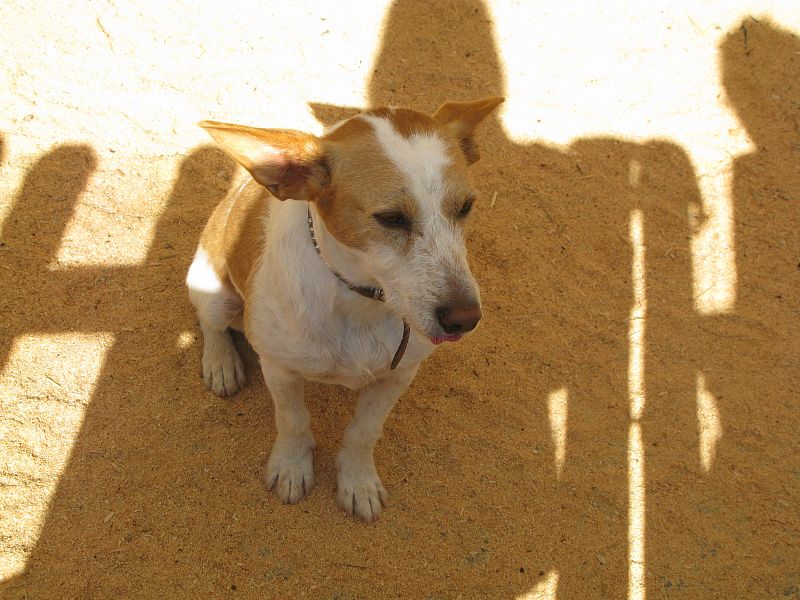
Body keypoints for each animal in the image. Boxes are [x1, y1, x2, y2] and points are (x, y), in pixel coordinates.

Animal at [185, 97, 504, 520]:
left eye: (466, 207)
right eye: (391, 218)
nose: (465, 319)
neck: (361, 302)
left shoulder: (397, 376)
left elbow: (363, 433)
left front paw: (358, 482)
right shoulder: (279, 369)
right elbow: (292, 421)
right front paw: (291, 467)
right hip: (216, 293)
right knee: (211, 325)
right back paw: (221, 364)